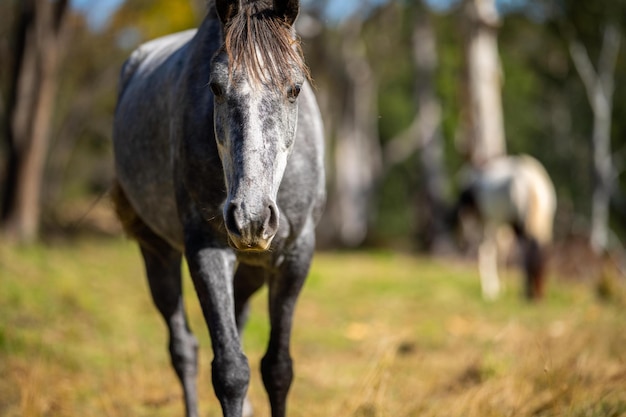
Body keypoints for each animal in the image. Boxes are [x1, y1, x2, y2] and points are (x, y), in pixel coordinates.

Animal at [110, 1, 324, 414]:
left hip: (252, 269)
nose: (252, 219)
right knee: (183, 350)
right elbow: (230, 372)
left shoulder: (296, 255)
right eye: (215, 87)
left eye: (295, 89)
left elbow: (278, 369)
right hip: (156, 251)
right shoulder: (205, 249)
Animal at [454, 154, 556, 300]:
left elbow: (496, 250)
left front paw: (494, 289)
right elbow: (504, 250)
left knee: (498, 248)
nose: (538, 296)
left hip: (504, 223)